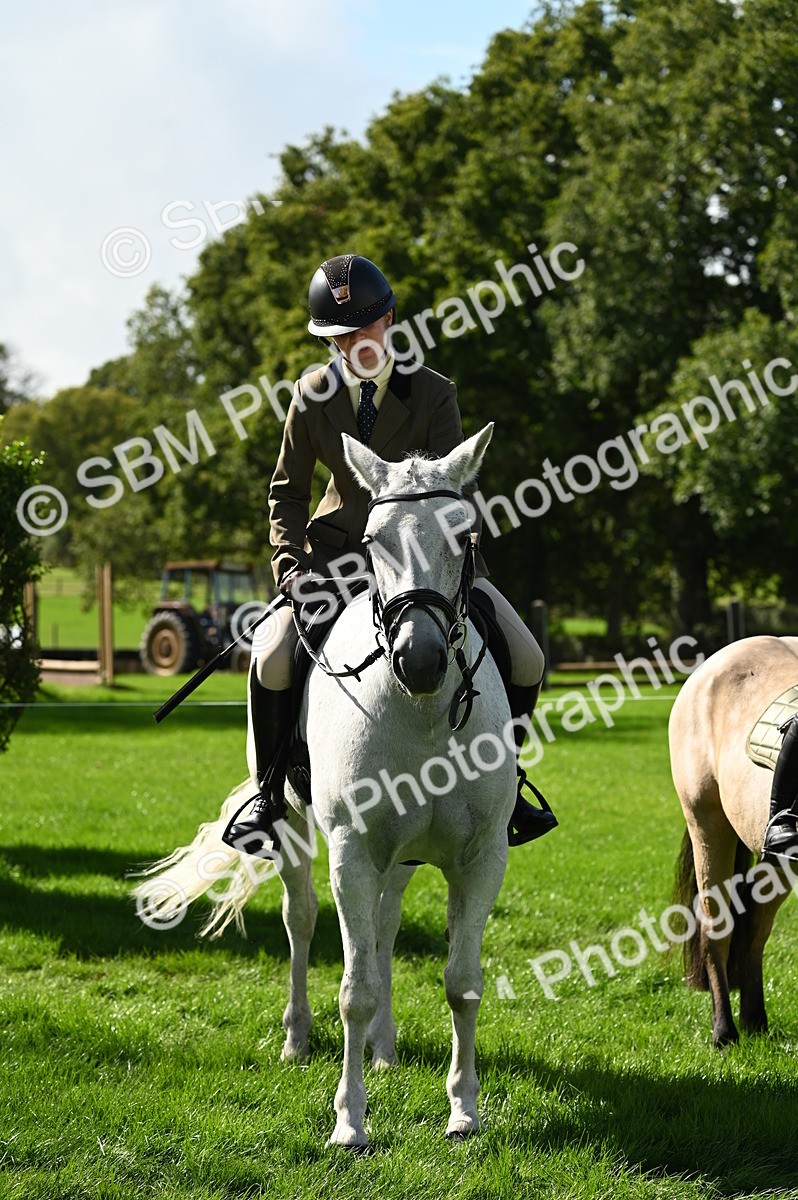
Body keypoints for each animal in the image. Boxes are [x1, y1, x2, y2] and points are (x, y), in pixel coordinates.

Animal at [135, 424, 518, 1147]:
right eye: (372, 539)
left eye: (465, 536)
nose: (420, 659)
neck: (421, 710)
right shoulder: (351, 851)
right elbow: (354, 989)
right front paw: (350, 1122)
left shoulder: (481, 856)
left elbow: (462, 982)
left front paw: (463, 1110)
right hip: (293, 827)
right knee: (303, 918)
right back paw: (297, 1040)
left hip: (401, 856)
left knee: (384, 927)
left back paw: (386, 1048)